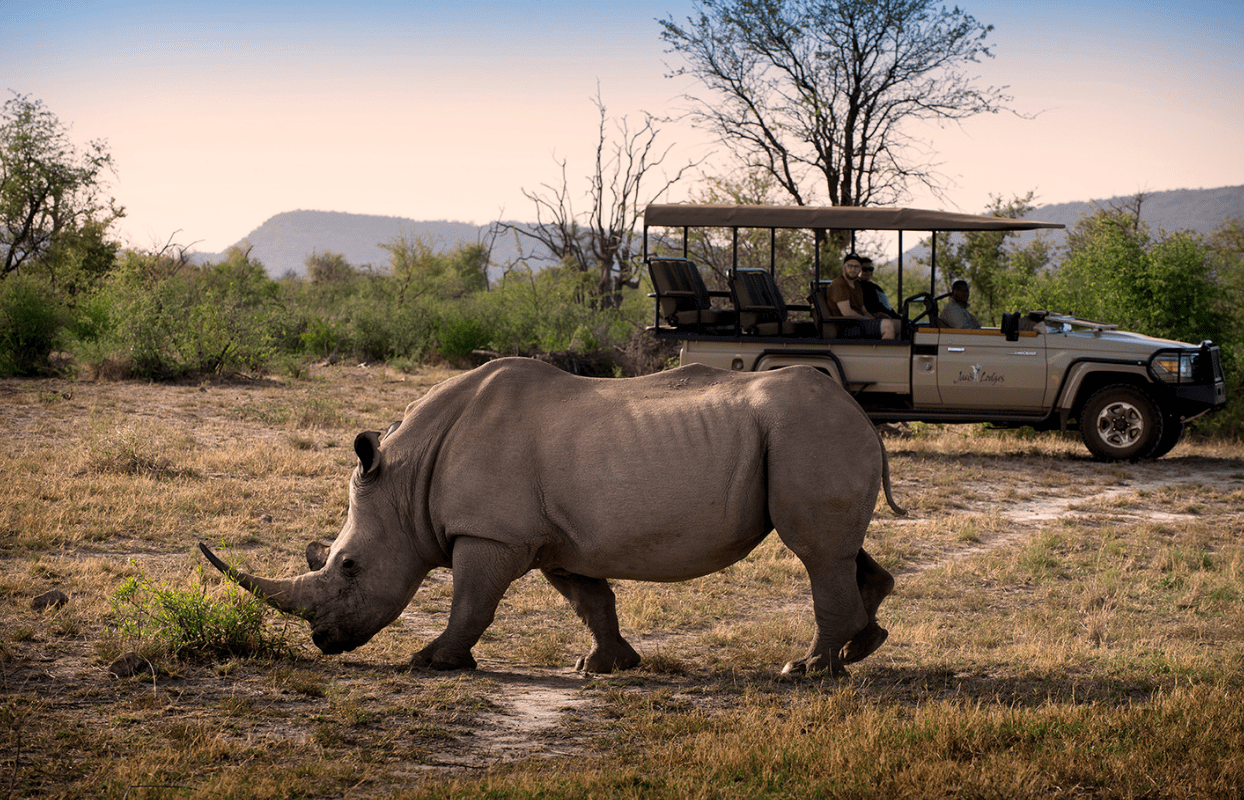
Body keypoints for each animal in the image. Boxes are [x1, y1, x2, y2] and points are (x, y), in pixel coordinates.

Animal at [201, 358, 903, 676]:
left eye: (347, 567)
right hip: (809, 436)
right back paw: (860, 648)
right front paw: (606, 667)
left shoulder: (490, 534)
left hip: (807, 433)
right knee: (839, 550)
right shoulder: (554, 540)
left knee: (815, 552)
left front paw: (431, 662)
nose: (323, 642)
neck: (406, 483)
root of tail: (859, 411)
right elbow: (591, 600)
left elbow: (472, 604)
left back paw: (805, 672)